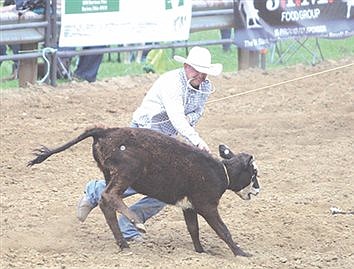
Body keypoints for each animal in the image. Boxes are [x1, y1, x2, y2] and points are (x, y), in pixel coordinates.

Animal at [28, 126, 260, 255]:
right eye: (254, 173)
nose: (258, 191)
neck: (221, 172)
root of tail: (105, 131)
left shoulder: (189, 207)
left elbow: (193, 230)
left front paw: (201, 252)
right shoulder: (207, 206)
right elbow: (223, 230)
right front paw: (242, 253)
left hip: (111, 175)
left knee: (106, 202)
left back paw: (123, 243)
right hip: (127, 172)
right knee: (109, 196)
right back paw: (136, 223)